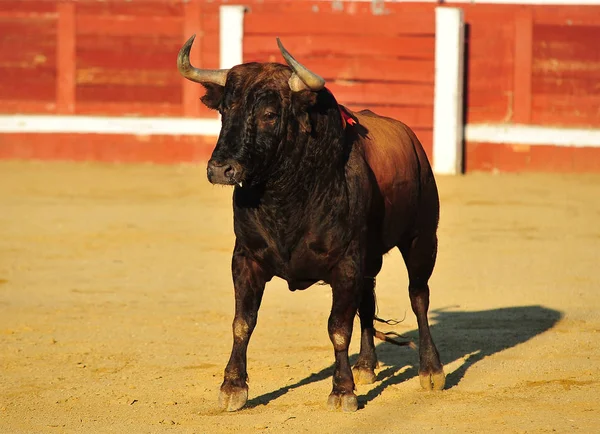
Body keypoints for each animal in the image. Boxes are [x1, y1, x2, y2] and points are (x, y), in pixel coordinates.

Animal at [176, 35, 442, 412]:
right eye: (226, 110)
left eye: (270, 114)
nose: (220, 169)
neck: (285, 198)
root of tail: (414, 142)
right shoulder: (246, 258)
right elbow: (242, 322)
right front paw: (232, 387)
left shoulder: (345, 263)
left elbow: (338, 328)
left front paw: (342, 392)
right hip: (370, 258)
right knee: (367, 301)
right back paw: (365, 367)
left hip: (421, 239)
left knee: (419, 296)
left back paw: (431, 371)